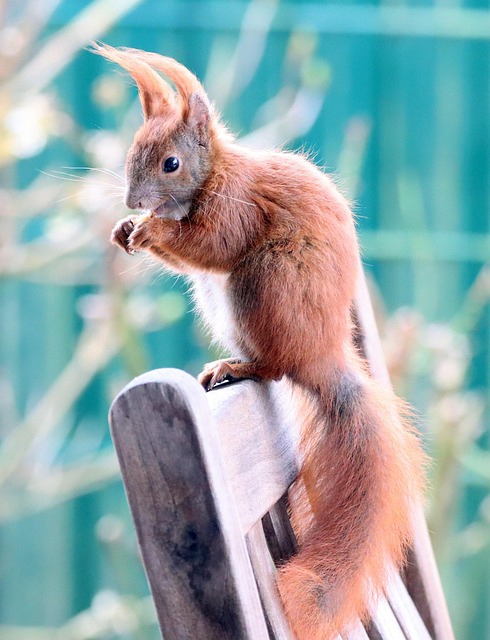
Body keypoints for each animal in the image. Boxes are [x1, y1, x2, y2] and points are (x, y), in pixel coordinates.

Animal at [94, 43, 426, 639]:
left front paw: (150, 230)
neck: (216, 174)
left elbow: (212, 243)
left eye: (171, 163)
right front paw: (126, 229)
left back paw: (241, 368)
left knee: (274, 366)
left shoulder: (238, 207)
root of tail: (322, 356)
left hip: (260, 287)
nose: (132, 200)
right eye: (134, 152)